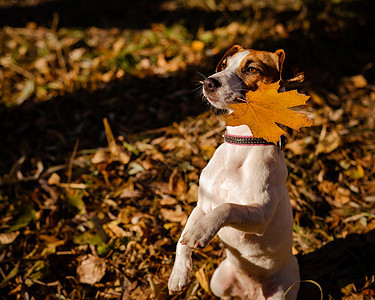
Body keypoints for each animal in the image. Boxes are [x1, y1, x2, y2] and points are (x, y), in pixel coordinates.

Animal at [169, 45, 302, 300]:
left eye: (251, 69)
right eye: (223, 65)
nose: (208, 82)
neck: (242, 144)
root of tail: (250, 292)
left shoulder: (260, 214)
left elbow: (227, 207)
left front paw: (201, 232)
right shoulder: (202, 204)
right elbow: (182, 239)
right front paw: (178, 273)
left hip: (283, 291)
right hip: (218, 281)